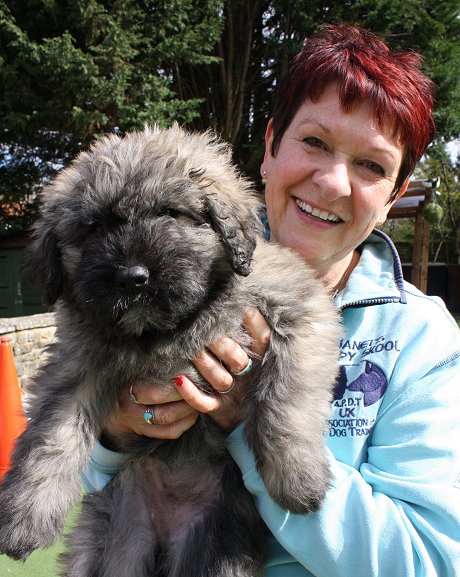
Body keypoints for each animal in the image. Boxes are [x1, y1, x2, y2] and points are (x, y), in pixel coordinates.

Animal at [0, 124, 338, 572]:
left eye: (171, 213)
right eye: (92, 228)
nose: (132, 277)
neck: (164, 330)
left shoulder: (300, 307)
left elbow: (286, 397)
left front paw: (296, 476)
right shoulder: (75, 365)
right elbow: (50, 436)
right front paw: (25, 516)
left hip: (218, 550)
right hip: (110, 541)